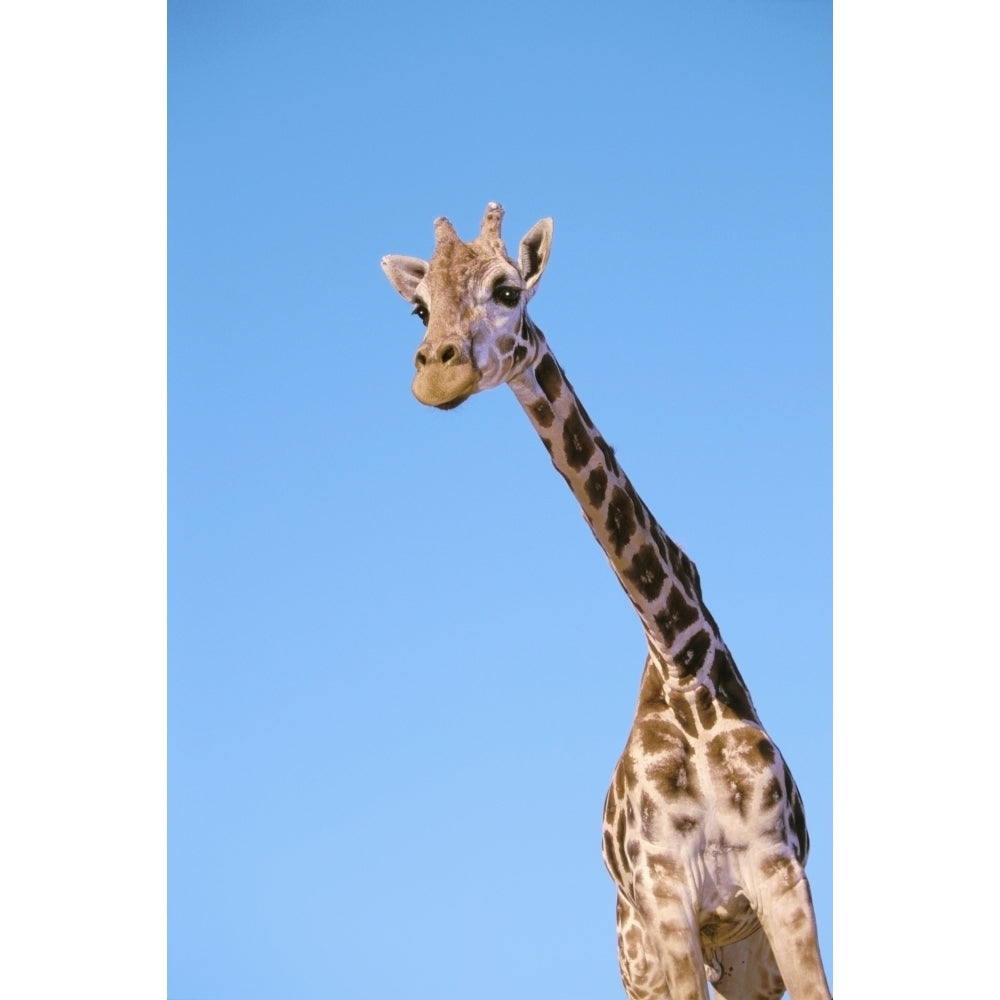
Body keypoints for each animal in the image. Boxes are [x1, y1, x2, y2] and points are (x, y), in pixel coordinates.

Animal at [378, 203, 832, 1000]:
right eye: (419, 307)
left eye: (507, 290)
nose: (437, 370)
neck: (684, 669)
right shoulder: (666, 897)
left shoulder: (780, 876)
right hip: (637, 955)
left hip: (743, 959)